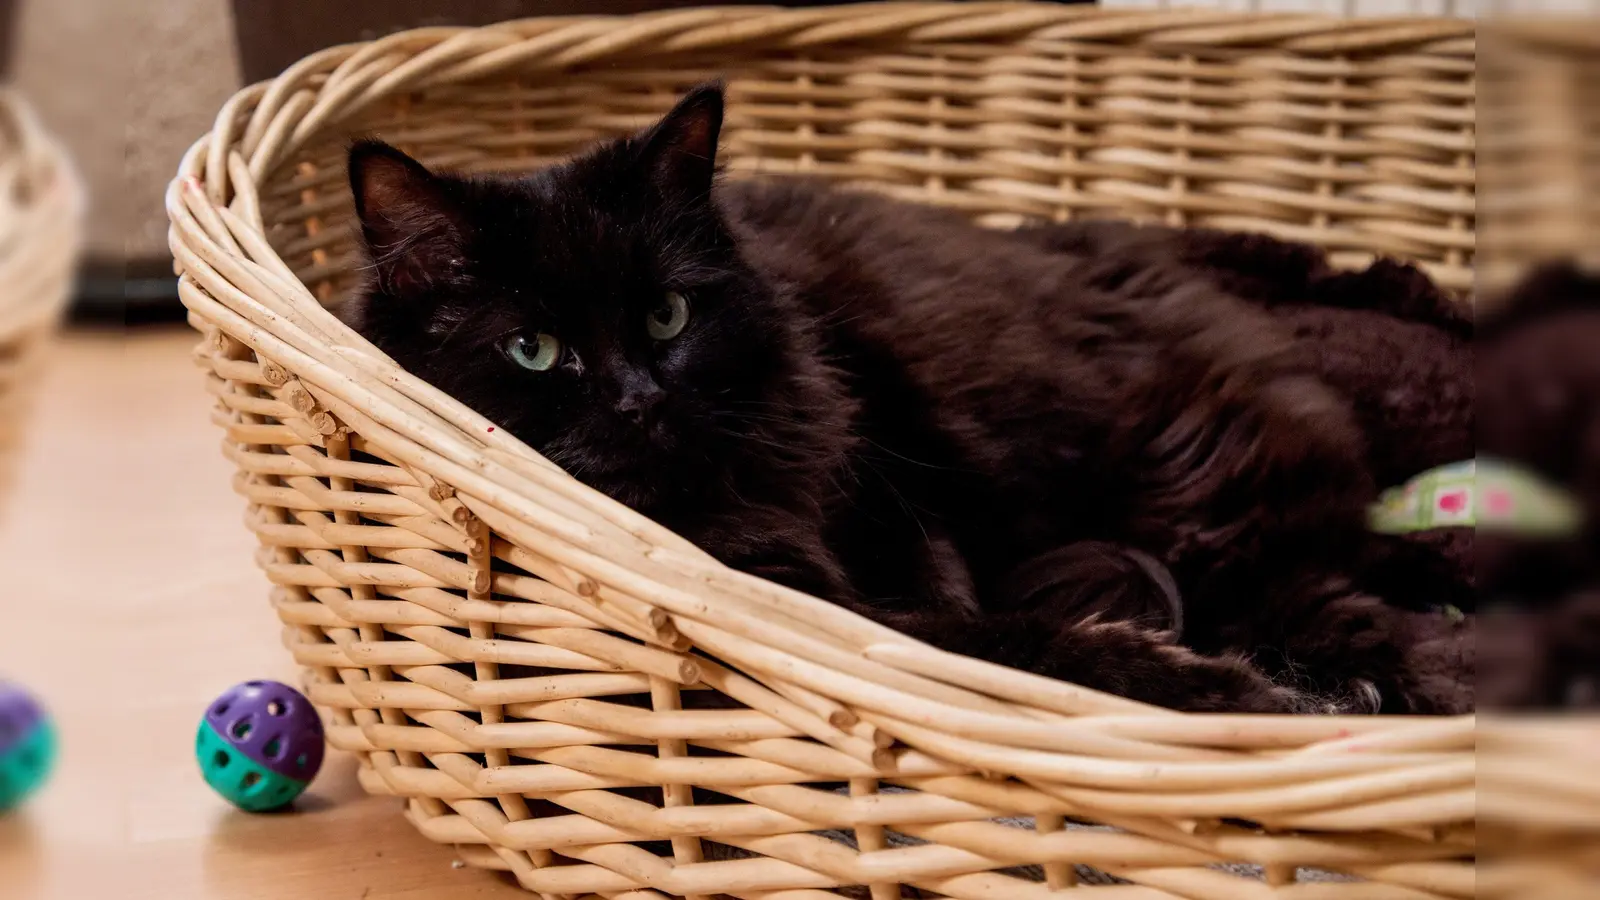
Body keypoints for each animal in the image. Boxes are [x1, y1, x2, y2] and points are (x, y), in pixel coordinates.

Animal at [347, 84, 1472, 714]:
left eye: (666, 317)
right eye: (533, 350)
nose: (635, 400)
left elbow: (975, 634)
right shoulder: (826, 598)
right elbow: (1002, 645)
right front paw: (1213, 687)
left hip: (1198, 509)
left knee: (1353, 602)